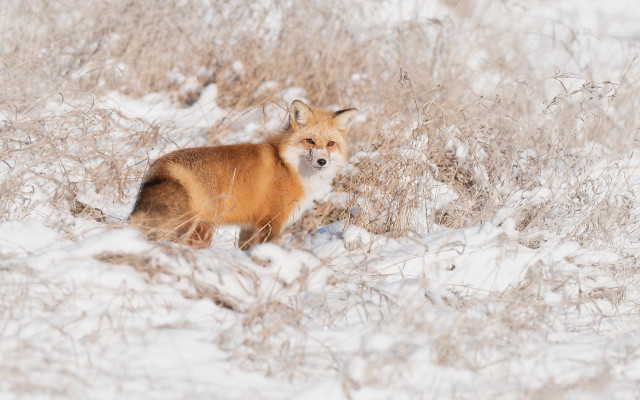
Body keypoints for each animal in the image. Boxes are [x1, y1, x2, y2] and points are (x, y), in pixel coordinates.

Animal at [130, 99, 358, 249]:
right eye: (310, 141)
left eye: (330, 144)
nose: (322, 161)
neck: (287, 164)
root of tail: (160, 167)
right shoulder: (271, 220)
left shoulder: (249, 226)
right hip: (203, 228)